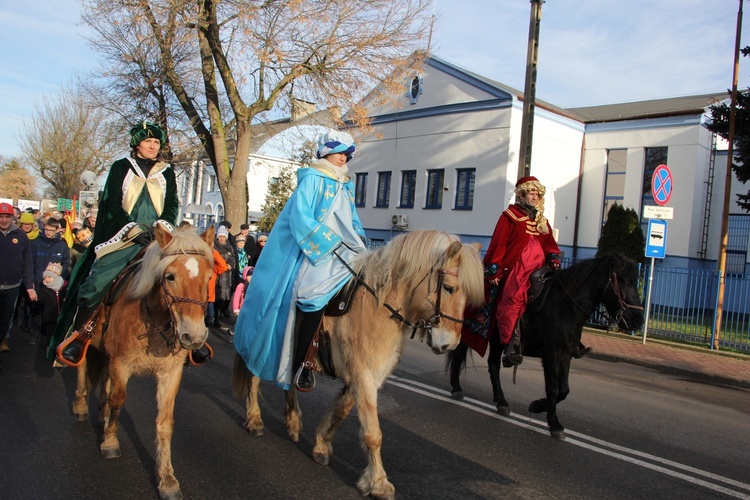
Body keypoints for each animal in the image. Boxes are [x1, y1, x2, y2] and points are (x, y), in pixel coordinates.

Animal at [68, 225, 214, 498]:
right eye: (170, 276)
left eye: (209, 278)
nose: (194, 336)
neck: (154, 319)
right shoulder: (121, 364)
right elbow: (117, 402)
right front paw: (110, 441)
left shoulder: (171, 372)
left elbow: (165, 422)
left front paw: (167, 479)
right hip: (89, 338)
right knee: (83, 366)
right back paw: (81, 405)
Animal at [232, 231, 484, 500]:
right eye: (449, 288)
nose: (449, 344)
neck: (378, 308)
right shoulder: (363, 375)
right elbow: (373, 434)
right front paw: (378, 483)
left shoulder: (366, 376)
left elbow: (342, 410)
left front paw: (321, 444)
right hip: (262, 344)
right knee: (254, 376)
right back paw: (255, 419)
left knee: (289, 381)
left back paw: (292, 421)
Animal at [450, 252, 644, 440]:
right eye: (626, 282)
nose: (638, 321)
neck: (565, 305)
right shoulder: (551, 354)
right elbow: (553, 388)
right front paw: (554, 424)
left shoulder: (566, 355)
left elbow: (564, 390)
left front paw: (537, 406)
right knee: (460, 355)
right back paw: (457, 388)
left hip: (497, 339)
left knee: (492, 365)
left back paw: (501, 402)